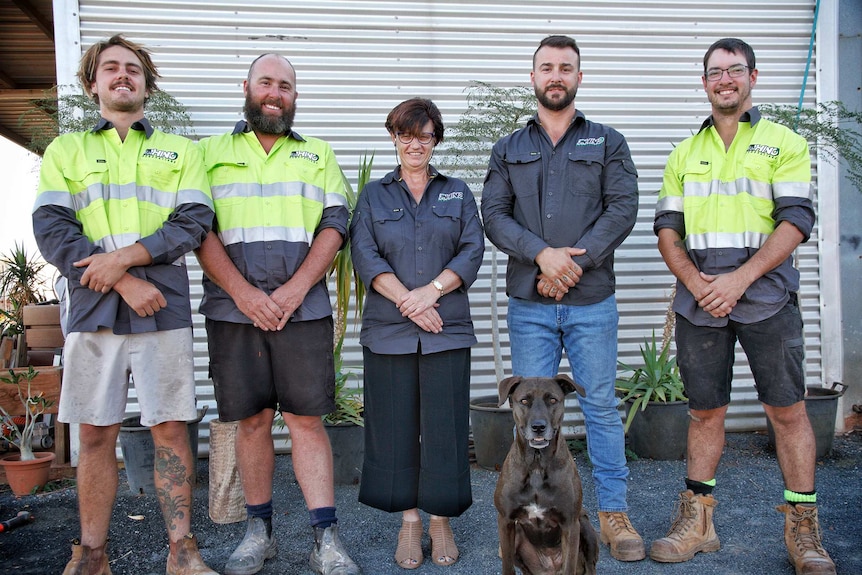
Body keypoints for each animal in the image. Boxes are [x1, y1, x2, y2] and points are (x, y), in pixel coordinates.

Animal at [492, 376, 600, 572]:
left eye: (552, 400)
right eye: (524, 401)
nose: (538, 427)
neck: (537, 463)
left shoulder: (570, 525)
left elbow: (569, 567)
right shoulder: (505, 521)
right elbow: (507, 567)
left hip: (585, 526)